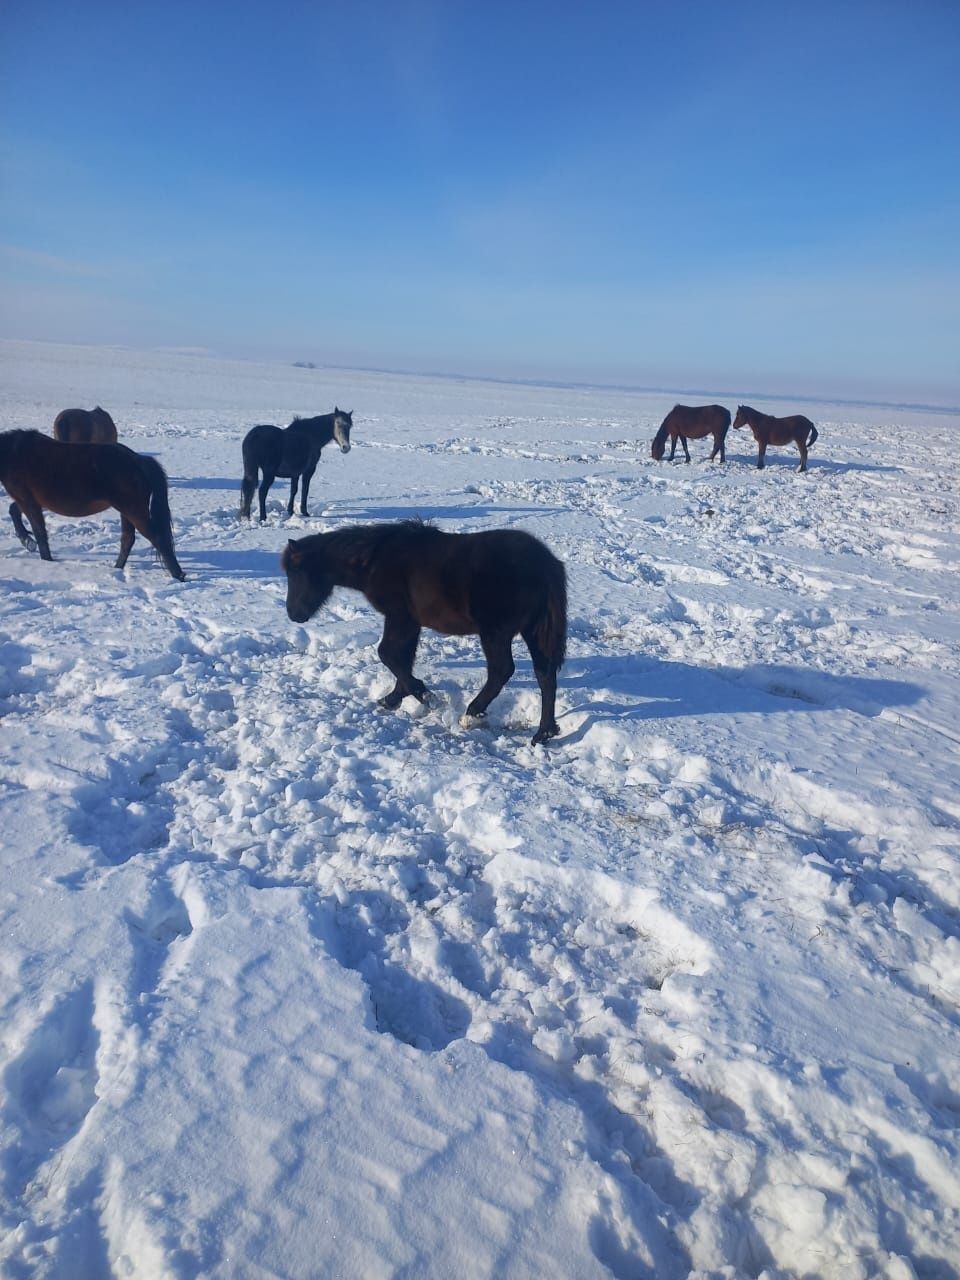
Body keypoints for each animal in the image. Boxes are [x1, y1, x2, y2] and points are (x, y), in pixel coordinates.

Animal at [0, 430, 185, 581]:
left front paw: (43, 557)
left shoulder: (27, 500)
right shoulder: (29, 500)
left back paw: (178, 576)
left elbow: (39, 533)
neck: (12, 454)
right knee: (128, 539)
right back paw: (116, 569)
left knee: (157, 538)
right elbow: (14, 511)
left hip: (133, 510)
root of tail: (138, 460)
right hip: (127, 511)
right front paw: (27, 541)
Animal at [281, 517, 568, 747]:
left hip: (495, 633)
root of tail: (544, 564)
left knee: (502, 670)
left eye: (297, 573)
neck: (374, 560)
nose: (293, 614)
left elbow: (388, 655)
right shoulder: (409, 623)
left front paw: (425, 696)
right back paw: (543, 733)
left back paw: (471, 714)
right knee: (545, 675)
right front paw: (394, 698)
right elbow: (402, 658)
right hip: (533, 631)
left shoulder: (400, 617)